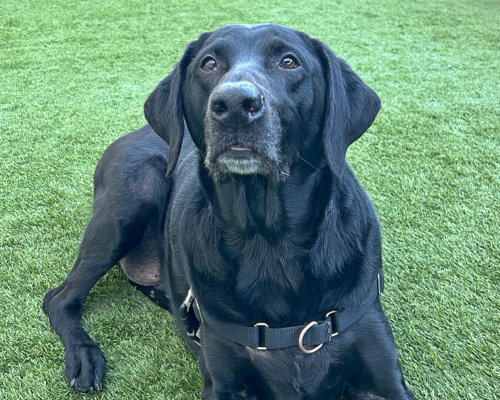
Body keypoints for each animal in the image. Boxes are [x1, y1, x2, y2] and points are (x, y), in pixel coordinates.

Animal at [44, 23, 418, 398]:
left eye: (289, 61)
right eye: (209, 63)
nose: (236, 103)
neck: (270, 243)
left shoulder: (383, 373)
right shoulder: (223, 383)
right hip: (133, 197)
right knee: (58, 298)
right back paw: (84, 356)